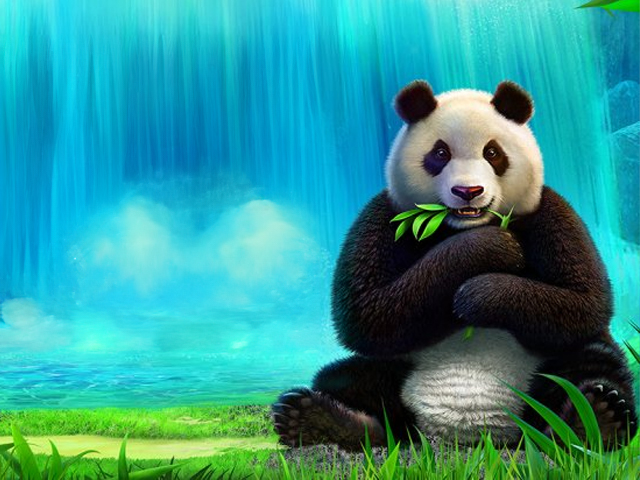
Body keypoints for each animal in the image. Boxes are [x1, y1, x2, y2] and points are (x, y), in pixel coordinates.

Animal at [272, 80, 638, 450]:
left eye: (492, 153)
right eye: (440, 153)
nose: (468, 191)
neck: (464, 224)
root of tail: (465, 434)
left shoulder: (549, 212)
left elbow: (583, 299)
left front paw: (476, 296)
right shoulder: (386, 215)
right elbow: (366, 311)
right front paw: (490, 248)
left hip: (545, 373)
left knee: (592, 363)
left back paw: (593, 420)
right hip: (396, 373)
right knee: (345, 377)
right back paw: (323, 421)